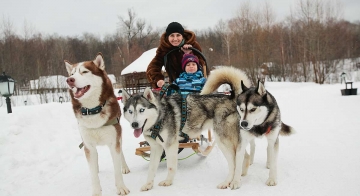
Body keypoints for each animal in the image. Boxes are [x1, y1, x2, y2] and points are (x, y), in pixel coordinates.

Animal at [65, 52, 130, 195]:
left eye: (84, 71)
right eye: (72, 74)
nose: (69, 80)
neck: (93, 109)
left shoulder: (114, 142)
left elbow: (116, 168)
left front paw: (121, 187)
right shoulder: (88, 145)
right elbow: (93, 173)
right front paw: (96, 191)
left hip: (119, 136)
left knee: (121, 153)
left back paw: (124, 166)